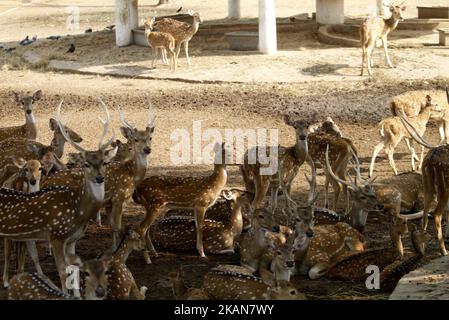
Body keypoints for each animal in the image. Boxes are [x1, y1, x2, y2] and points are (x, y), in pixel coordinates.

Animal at [0, 99, 116, 292]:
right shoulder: (56, 235)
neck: (78, 211)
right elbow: (63, 271)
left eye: (105, 162)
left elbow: (74, 270)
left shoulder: (71, 240)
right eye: (86, 164)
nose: (100, 178)